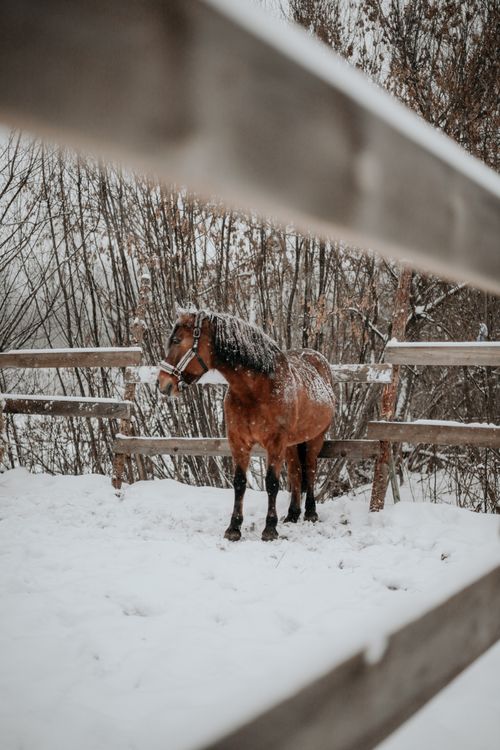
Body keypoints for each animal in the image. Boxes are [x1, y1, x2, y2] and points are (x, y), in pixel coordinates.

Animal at [158, 309, 335, 541]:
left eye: (177, 340)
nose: (163, 384)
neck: (256, 389)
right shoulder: (239, 442)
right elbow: (240, 482)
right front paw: (234, 528)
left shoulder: (275, 444)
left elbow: (272, 483)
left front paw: (270, 528)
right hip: (292, 444)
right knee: (296, 472)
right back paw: (292, 515)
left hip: (315, 438)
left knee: (311, 469)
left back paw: (311, 513)